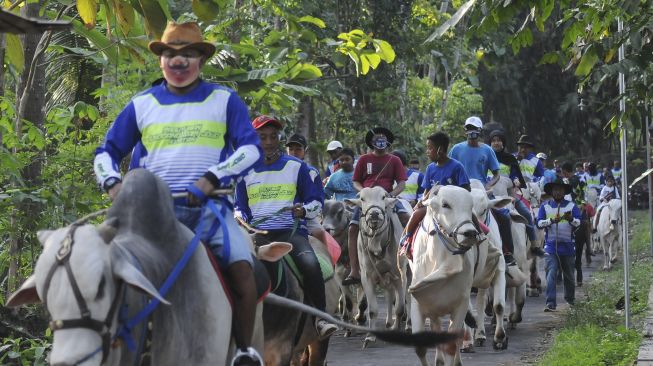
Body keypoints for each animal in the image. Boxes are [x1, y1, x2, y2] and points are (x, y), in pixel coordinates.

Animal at [344, 187, 404, 348]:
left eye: (383, 197)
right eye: (362, 198)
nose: (374, 214)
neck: (377, 243)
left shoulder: (399, 276)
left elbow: (400, 307)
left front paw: (398, 328)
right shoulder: (367, 277)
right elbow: (372, 310)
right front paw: (370, 337)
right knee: (389, 295)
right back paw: (388, 323)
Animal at [408, 186, 484, 366]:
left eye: (470, 206)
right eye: (445, 205)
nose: (470, 233)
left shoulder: (461, 303)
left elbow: (451, 344)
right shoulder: (418, 301)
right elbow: (420, 347)